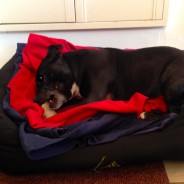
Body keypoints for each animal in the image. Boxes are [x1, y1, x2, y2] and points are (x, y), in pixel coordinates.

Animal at [35, 44, 184, 119]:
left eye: (41, 78)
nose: (35, 100)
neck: (74, 66)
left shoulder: (92, 98)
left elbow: (67, 111)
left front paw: (48, 114)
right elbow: (66, 106)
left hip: (169, 81)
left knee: (175, 113)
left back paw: (147, 114)